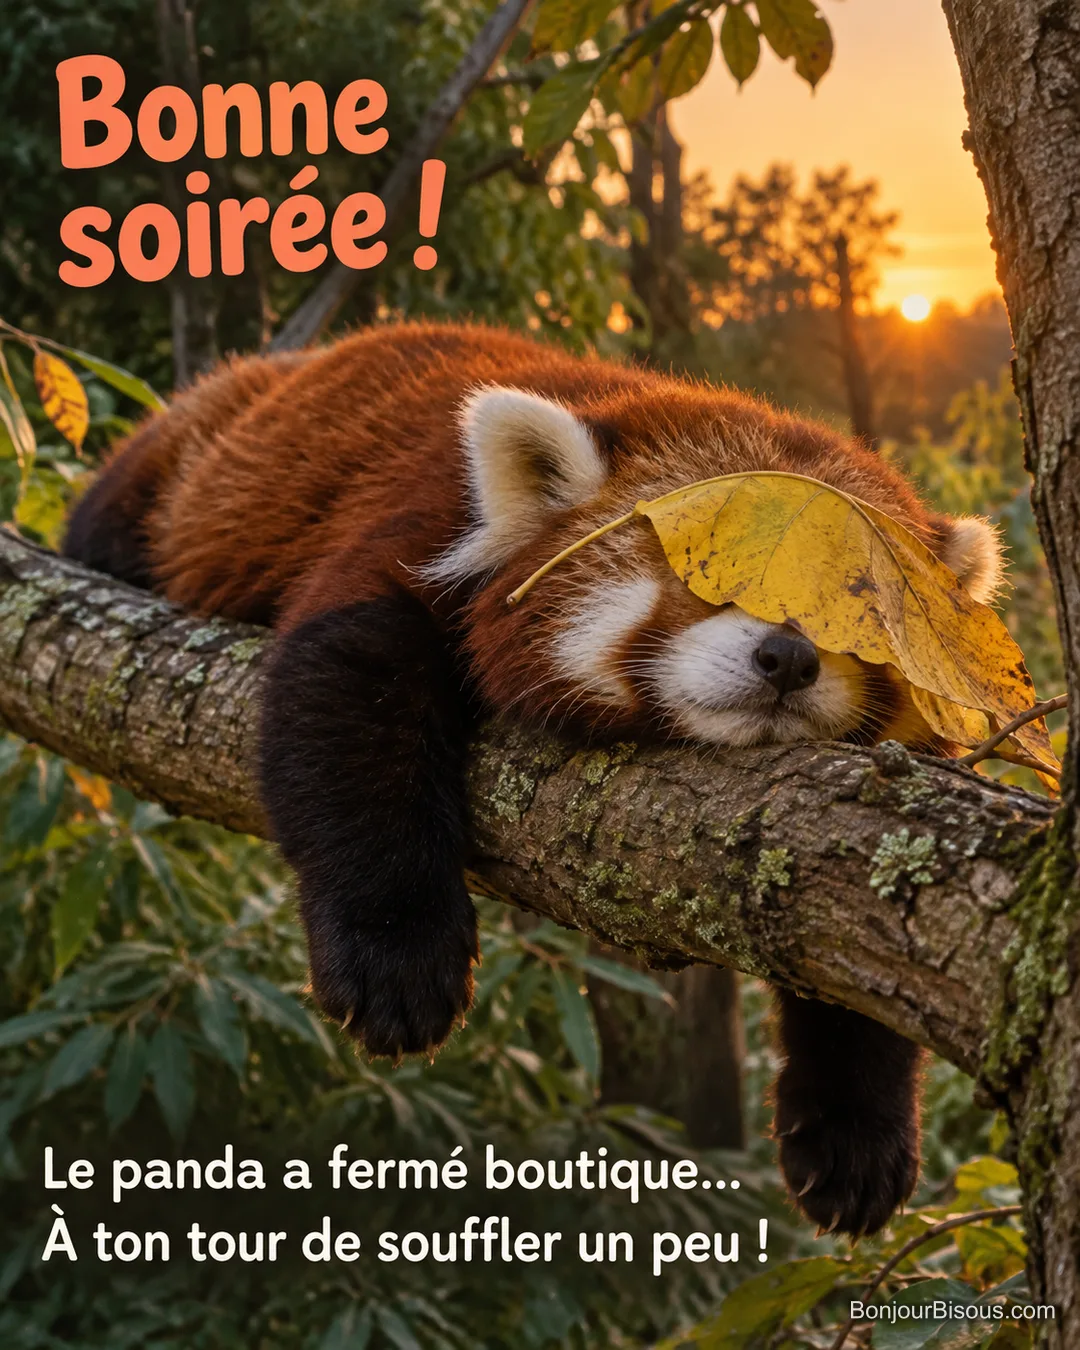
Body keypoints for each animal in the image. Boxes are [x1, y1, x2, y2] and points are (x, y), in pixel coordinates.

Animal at [63, 320, 1003, 1239]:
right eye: (705, 580)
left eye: (850, 617)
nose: (788, 659)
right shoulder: (421, 523)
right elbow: (348, 686)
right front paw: (396, 960)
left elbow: (862, 949)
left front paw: (855, 1132)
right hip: (191, 453)